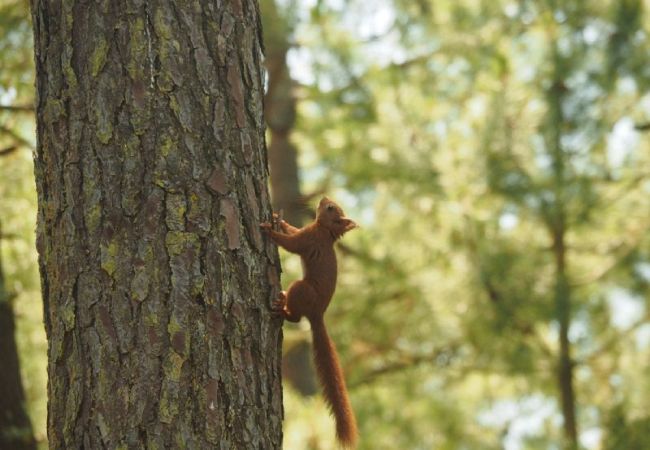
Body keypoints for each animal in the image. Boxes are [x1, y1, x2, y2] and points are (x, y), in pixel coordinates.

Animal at [260, 196, 360, 446]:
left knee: (296, 317)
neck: (324, 230)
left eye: (330, 208)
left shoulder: (308, 239)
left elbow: (291, 244)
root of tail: (317, 314)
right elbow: (293, 231)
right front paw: (278, 220)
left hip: (300, 289)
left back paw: (282, 309)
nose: (323, 198)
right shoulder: (307, 232)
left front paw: (270, 231)